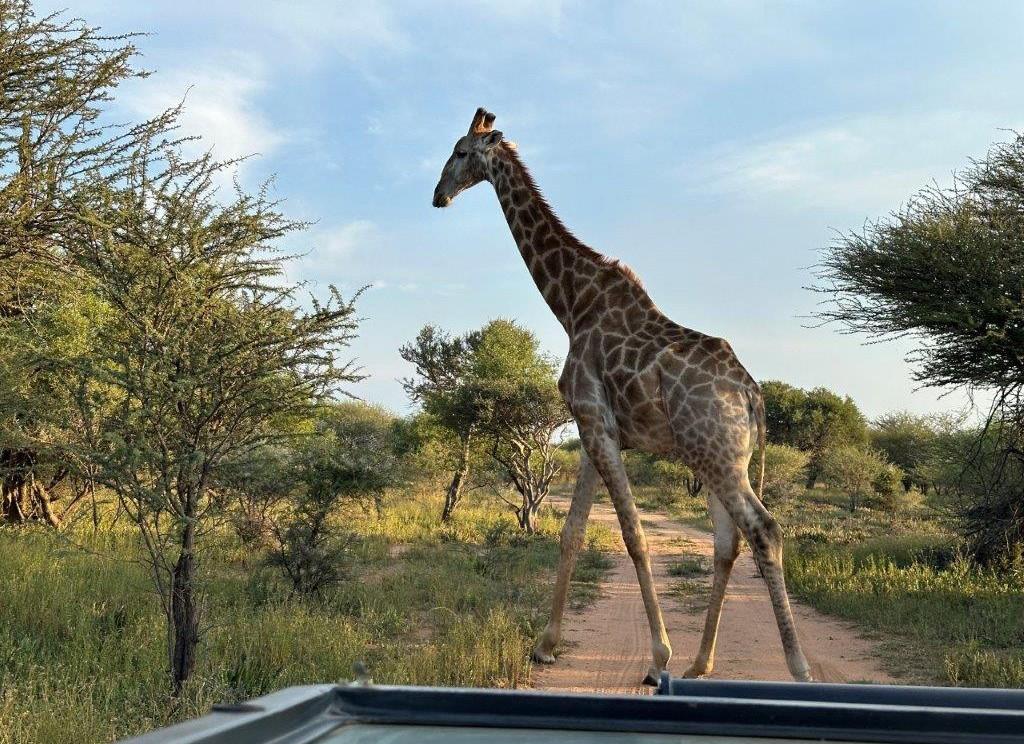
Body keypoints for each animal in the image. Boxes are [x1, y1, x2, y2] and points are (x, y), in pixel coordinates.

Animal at [432, 108, 813, 685]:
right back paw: (701, 663)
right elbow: (572, 533)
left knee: (764, 530)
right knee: (728, 542)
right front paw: (544, 646)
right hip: (722, 457)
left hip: (716, 455)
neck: (571, 303)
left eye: (458, 152)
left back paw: (797, 667)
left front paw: (658, 658)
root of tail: (752, 396)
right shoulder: (596, 429)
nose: (438, 196)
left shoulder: (595, 423)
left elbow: (633, 535)